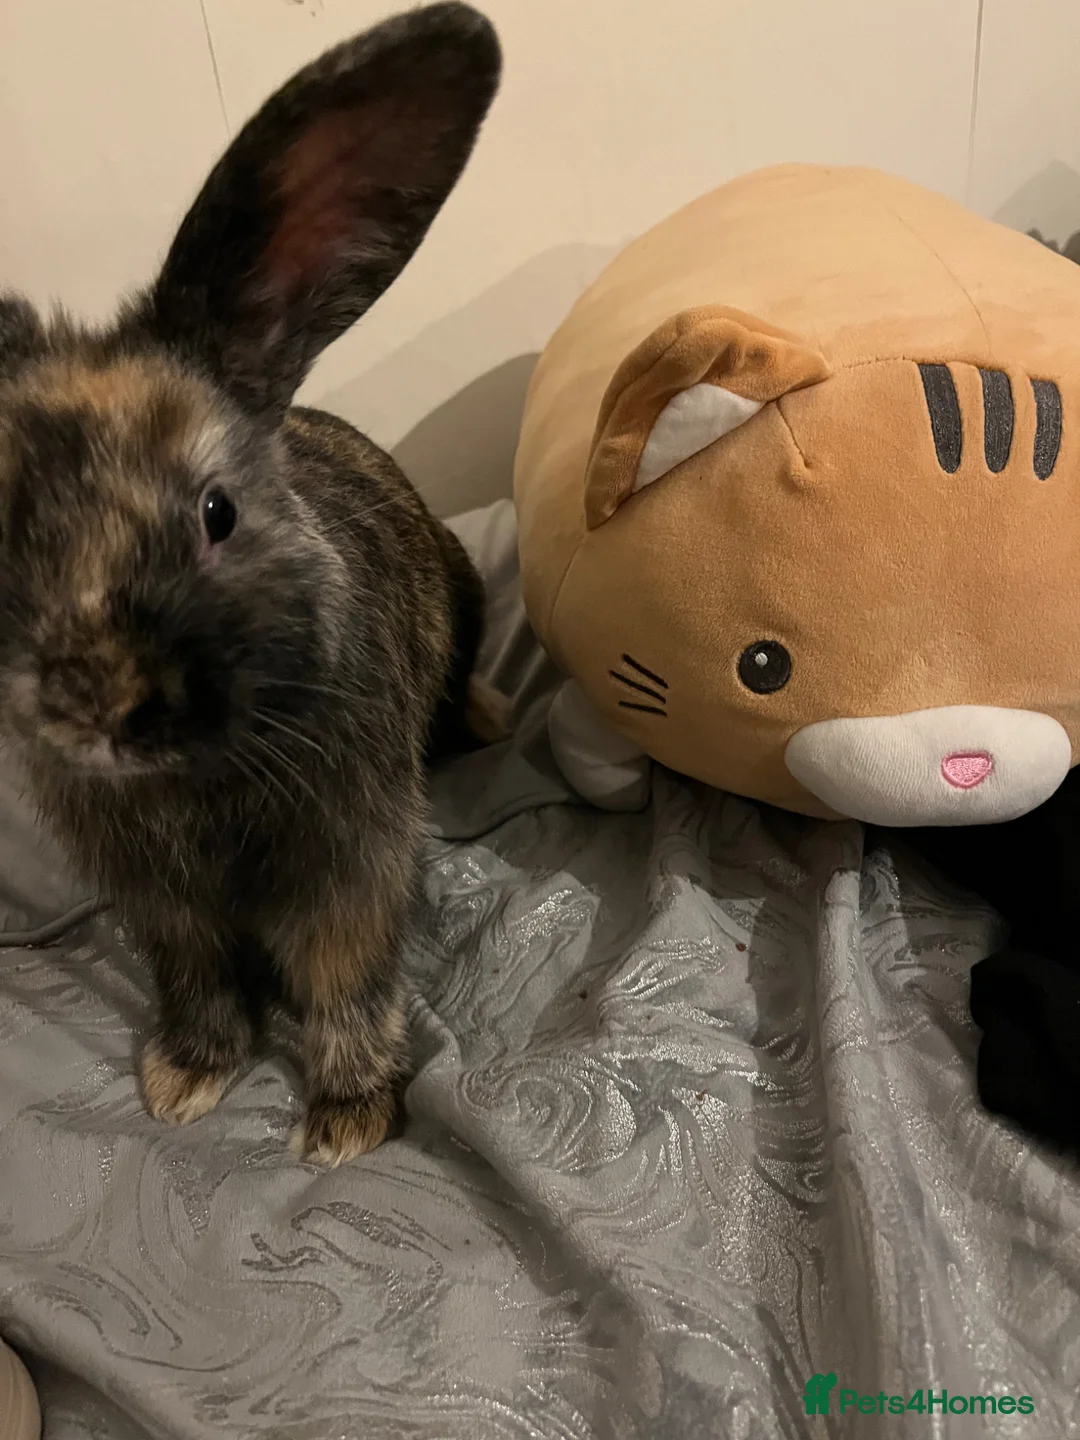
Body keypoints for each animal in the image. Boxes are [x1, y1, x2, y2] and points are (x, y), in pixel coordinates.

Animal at [0, 2, 503, 1166]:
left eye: (216, 513)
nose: (97, 707)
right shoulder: (161, 905)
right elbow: (195, 979)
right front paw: (185, 1076)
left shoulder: (349, 871)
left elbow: (344, 984)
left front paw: (350, 1116)